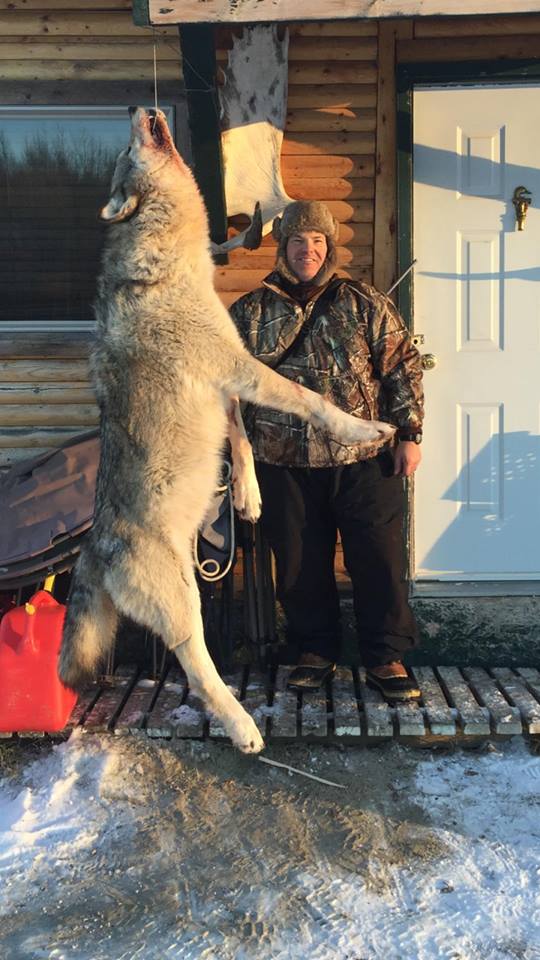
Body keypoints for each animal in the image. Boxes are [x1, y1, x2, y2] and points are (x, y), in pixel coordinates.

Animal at [58, 107, 394, 753]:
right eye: (127, 151)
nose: (140, 108)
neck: (172, 257)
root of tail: (94, 549)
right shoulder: (236, 365)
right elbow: (309, 399)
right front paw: (364, 430)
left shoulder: (227, 381)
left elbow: (240, 437)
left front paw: (249, 497)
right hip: (183, 600)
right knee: (195, 665)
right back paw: (244, 728)